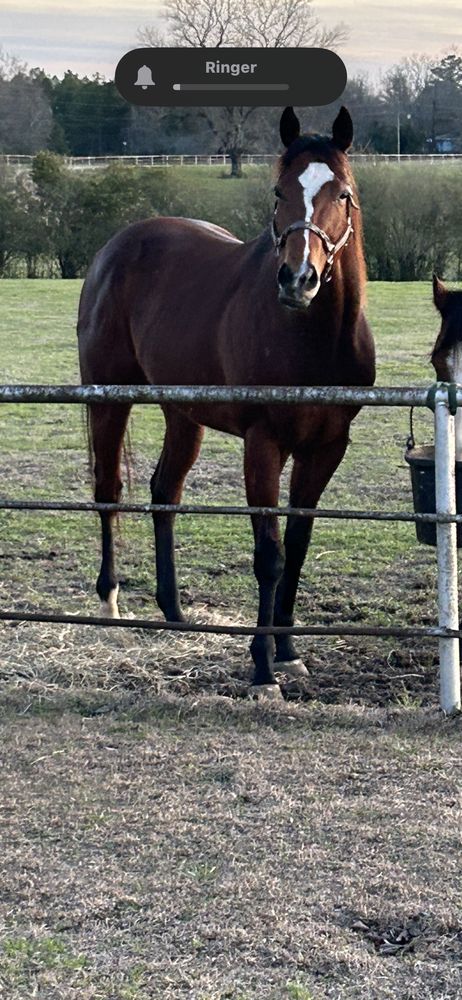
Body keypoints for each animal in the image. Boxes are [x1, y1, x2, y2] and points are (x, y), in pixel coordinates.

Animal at [77, 106, 376, 698]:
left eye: (343, 194)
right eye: (279, 191)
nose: (298, 279)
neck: (313, 339)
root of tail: (113, 249)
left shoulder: (326, 448)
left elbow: (298, 546)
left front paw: (289, 653)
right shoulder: (263, 445)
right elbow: (269, 556)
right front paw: (262, 668)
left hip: (182, 415)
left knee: (164, 494)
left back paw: (173, 613)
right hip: (109, 401)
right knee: (109, 491)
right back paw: (110, 603)